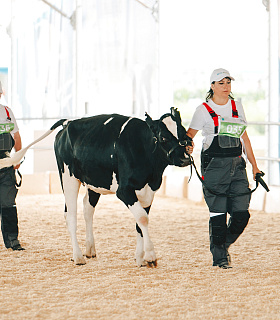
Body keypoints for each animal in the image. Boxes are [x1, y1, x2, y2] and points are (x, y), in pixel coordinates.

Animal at [0, 109, 191, 266]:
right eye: (163, 137)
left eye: (183, 133)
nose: (184, 158)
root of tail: (67, 122)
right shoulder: (124, 191)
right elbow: (143, 219)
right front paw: (150, 256)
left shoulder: (149, 191)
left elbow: (139, 222)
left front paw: (140, 258)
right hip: (68, 177)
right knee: (70, 215)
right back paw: (78, 256)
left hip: (93, 182)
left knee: (87, 208)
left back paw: (89, 249)